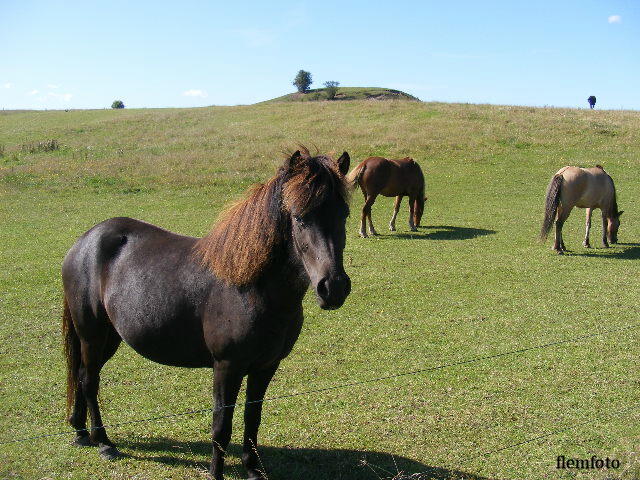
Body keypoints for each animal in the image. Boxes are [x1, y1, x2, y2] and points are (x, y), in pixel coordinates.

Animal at [61, 148, 350, 478]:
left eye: (344, 214)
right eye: (300, 217)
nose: (334, 288)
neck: (250, 287)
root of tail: (85, 241)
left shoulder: (265, 367)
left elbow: (252, 420)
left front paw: (253, 469)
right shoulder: (226, 367)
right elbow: (221, 426)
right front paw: (216, 472)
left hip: (110, 337)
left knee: (82, 374)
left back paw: (81, 432)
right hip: (92, 335)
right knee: (89, 380)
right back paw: (104, 442)